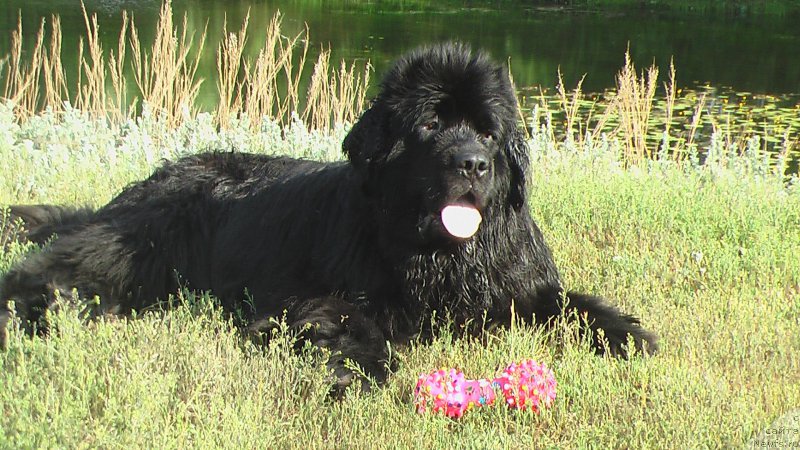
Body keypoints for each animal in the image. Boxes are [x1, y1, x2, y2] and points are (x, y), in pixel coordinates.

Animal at [0, 44, 656, 392]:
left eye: (489, 133)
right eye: (431, 124)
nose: (471, 163)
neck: (439, 258)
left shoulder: (520, 284)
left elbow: (575, 303)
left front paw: (629, 335)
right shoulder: (320, 294)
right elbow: (349, 323)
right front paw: (355, 370)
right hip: (138, 243)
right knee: (55, 271)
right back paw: (39, 309)